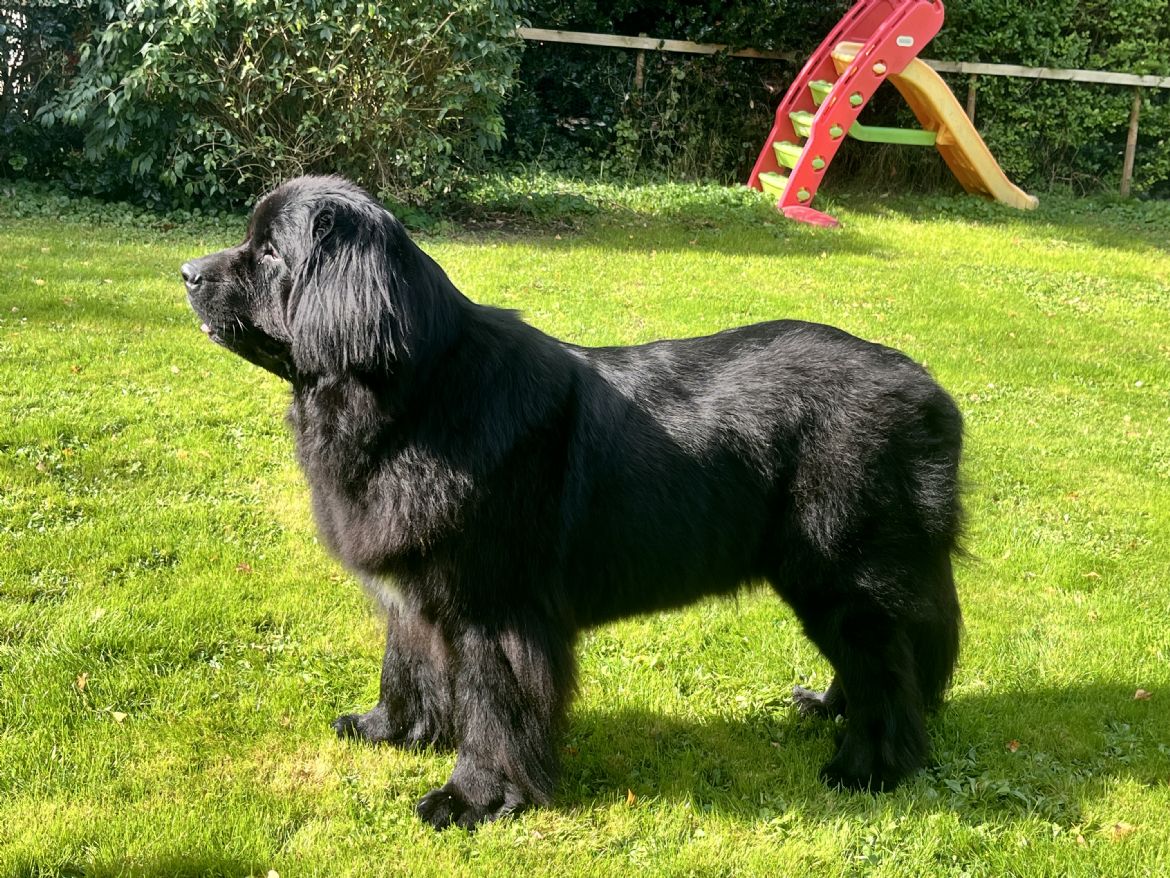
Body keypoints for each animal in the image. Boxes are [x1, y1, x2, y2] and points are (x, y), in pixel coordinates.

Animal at [182, 175, 964, 830]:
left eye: (269, 253)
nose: (186, 273)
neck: (411, 398)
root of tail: (929, 388)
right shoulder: (419, 592)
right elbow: (406, 667)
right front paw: (388, 731)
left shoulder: (495, 610)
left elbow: (492, 709)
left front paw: (470, 799)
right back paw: (827, 711)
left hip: (843, 568)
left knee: (885, 667)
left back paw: (866, 768)